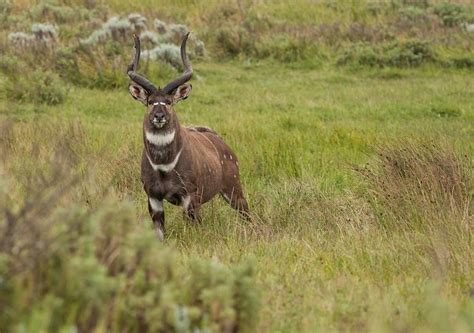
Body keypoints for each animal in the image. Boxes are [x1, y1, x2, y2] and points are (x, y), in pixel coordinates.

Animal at [126, 32, 252, 239]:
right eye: (150, 102)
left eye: (169, 102)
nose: (159, 116)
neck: (164, 164)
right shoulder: (153, 197)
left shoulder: (190, 196)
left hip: (233, 188)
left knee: (246, 213)